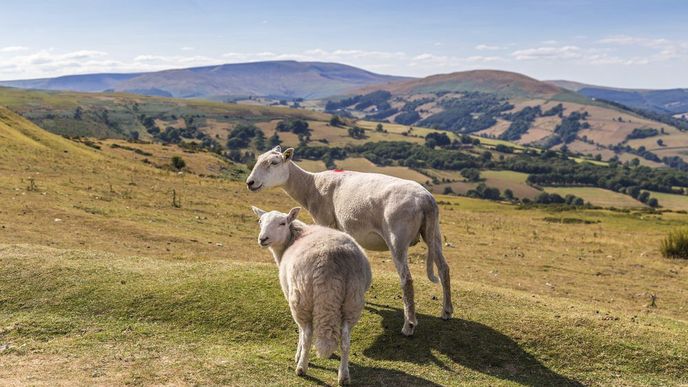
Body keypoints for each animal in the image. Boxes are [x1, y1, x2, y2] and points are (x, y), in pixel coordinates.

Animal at [245, 146, 454, 336]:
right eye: (258, 160)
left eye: (274, 163)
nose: (250, 182)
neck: (310, 186)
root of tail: (426, 201)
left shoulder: (324, 220)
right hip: (433, 232)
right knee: (444, 268)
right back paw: (446, 311)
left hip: (398, 236)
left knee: (407, 279)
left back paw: (409, 325)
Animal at [251, 206, 370, 384]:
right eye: (260, 221)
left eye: (282, 223)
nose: (263, 239)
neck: (293, 237)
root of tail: (330, 262)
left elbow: (301, 332)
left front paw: (298, 354)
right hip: (353, 300)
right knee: (345, 340)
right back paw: (343, 375)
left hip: (302, 297)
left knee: (307, 334)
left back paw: (301, 367)